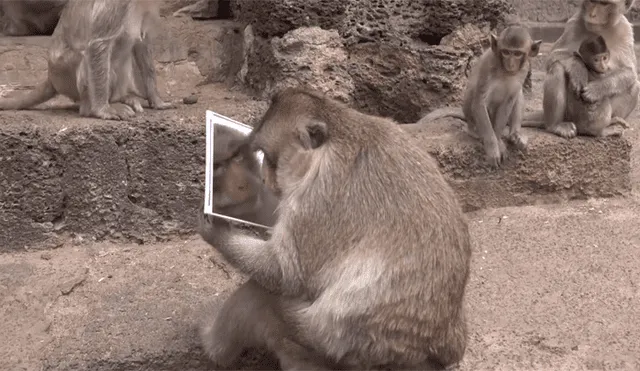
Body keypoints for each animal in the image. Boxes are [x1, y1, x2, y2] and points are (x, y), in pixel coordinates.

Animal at [0, 0, 174, 120]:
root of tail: (52, 77)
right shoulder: (117, 5)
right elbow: (98, 44)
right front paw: (102, 110)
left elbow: (142, 45)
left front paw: (156, 100)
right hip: (68, 78)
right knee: (86, 59)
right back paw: (90, 108)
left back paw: (122, 98)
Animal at [198, 88, 472, 371]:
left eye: (270, 159)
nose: (263, 177)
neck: (339, 135)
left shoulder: (318, 196)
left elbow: (285, 273)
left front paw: (216, 230)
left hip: (319, 349)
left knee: (263, 294)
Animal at [404, 26, 540, 169]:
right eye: (506, 52)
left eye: (517, 54)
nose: (511, 64)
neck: (504, 71)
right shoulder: (488, 65)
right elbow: (479, 102)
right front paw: (492, 147)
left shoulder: (524, 69)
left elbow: (508, 101)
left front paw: (498, 141)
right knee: (474, 93)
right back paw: (475, 132)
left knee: (517, 93)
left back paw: (515, 134)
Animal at [524, 0, 636, 139]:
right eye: (592, 2)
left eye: (604, 4)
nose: (592, 14)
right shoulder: (574, 23)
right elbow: (553, 57)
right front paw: (578, 69)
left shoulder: (625, 29)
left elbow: (630, 72)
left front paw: (596, 89)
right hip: (571, 114)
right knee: (557, 68)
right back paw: (557, 126)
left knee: (634, 86)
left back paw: (608, 125)